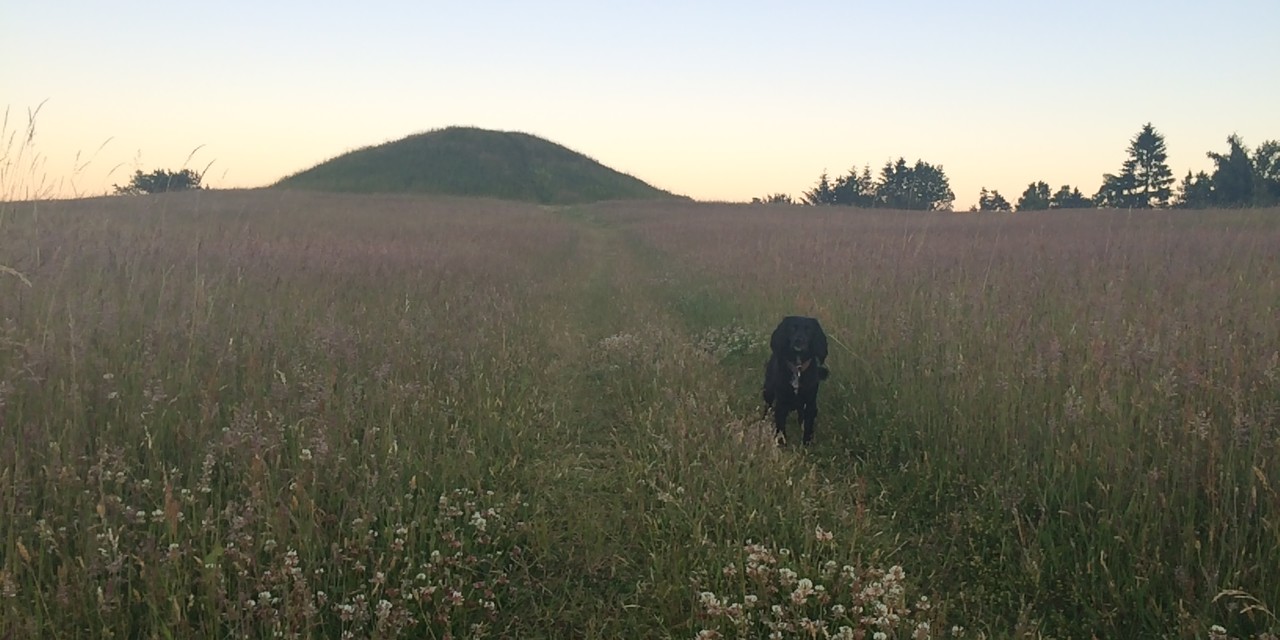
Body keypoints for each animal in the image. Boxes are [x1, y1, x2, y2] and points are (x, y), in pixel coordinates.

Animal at [757, 316, 829, 445]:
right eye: (792, 328)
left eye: (809, 329)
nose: (798, 340)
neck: (798, 368)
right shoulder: (781, 402)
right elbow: (780, 426)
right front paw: (781, 443)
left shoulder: (810, 403)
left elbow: (808, 425)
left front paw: (807, 443)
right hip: (768, 391)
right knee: (767, 407)